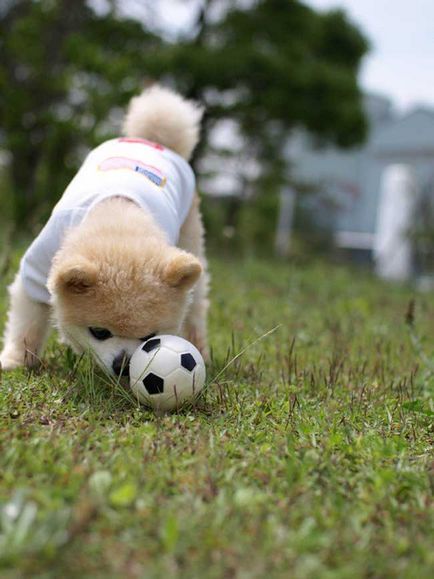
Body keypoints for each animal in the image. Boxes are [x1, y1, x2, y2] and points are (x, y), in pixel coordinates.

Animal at [0, 85, 210, 376]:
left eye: (150, 337)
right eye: (99, 332)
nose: (122, 365)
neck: (117, 218)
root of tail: (151, 140)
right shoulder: (37, 267)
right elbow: (27, 318)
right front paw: (17, 360)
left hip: (190, 235)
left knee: (196, 304)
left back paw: (199, 347)